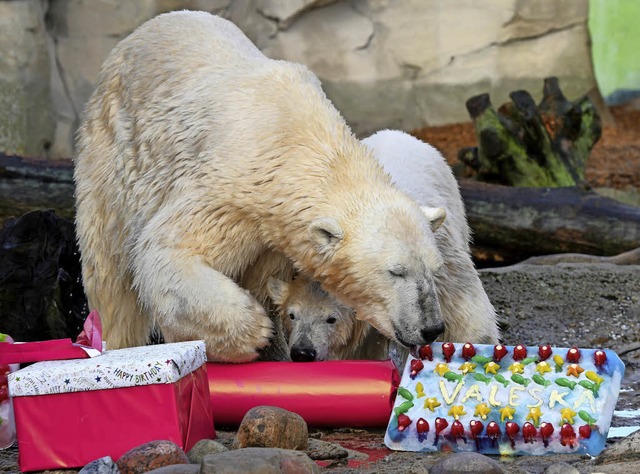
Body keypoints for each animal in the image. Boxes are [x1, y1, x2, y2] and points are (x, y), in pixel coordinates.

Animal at [74, 11, 444, 362]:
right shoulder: (229, 188)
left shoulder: (276, 237)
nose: (431, 327)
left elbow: (268, 285)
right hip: (113, 158)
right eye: (396, 271)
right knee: (110, 272)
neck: (297, 142)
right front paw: (253, 331)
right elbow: (168, 250)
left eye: (433, 268)